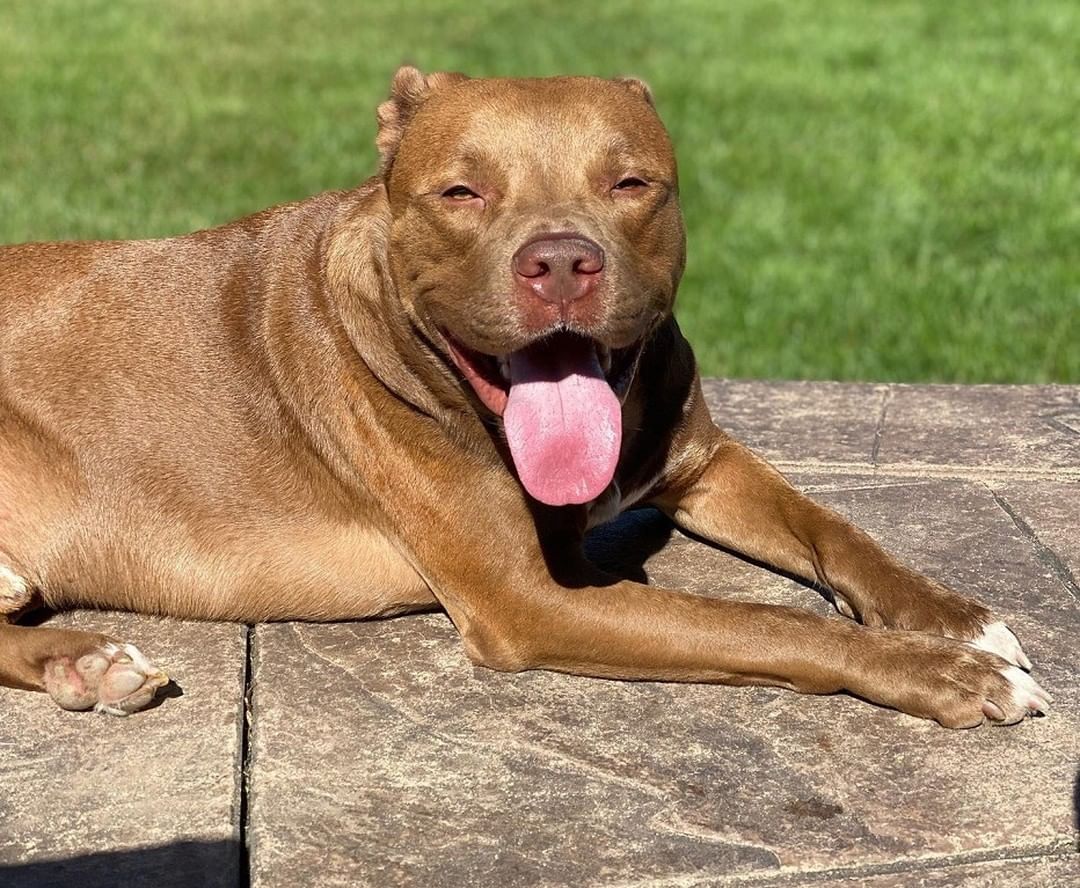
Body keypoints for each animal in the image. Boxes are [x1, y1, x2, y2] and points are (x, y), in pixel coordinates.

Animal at [0, 66, 1045, 725]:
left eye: (631, 182)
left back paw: (80, 663)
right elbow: (764, 622)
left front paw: (952, 617)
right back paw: (89, 661)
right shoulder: (530, 600)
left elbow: (838, 529)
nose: (562, 262)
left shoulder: (705, 463)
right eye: (461, 192)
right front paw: (949, 672)